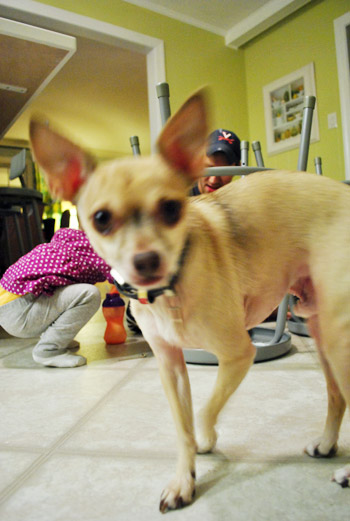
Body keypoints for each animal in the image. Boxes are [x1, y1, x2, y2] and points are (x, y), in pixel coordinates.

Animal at [30, 93, 350, 512]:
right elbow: (181, 425)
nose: (146, 260)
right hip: (323, 334)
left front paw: (207, 440)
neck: (171, 290)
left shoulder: (238, 355)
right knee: (337, 396)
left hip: (340, 340)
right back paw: (327, 445)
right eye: (101, 218)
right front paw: (185, 478)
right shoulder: (171, 367)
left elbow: (204, 410)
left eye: (171, 209)